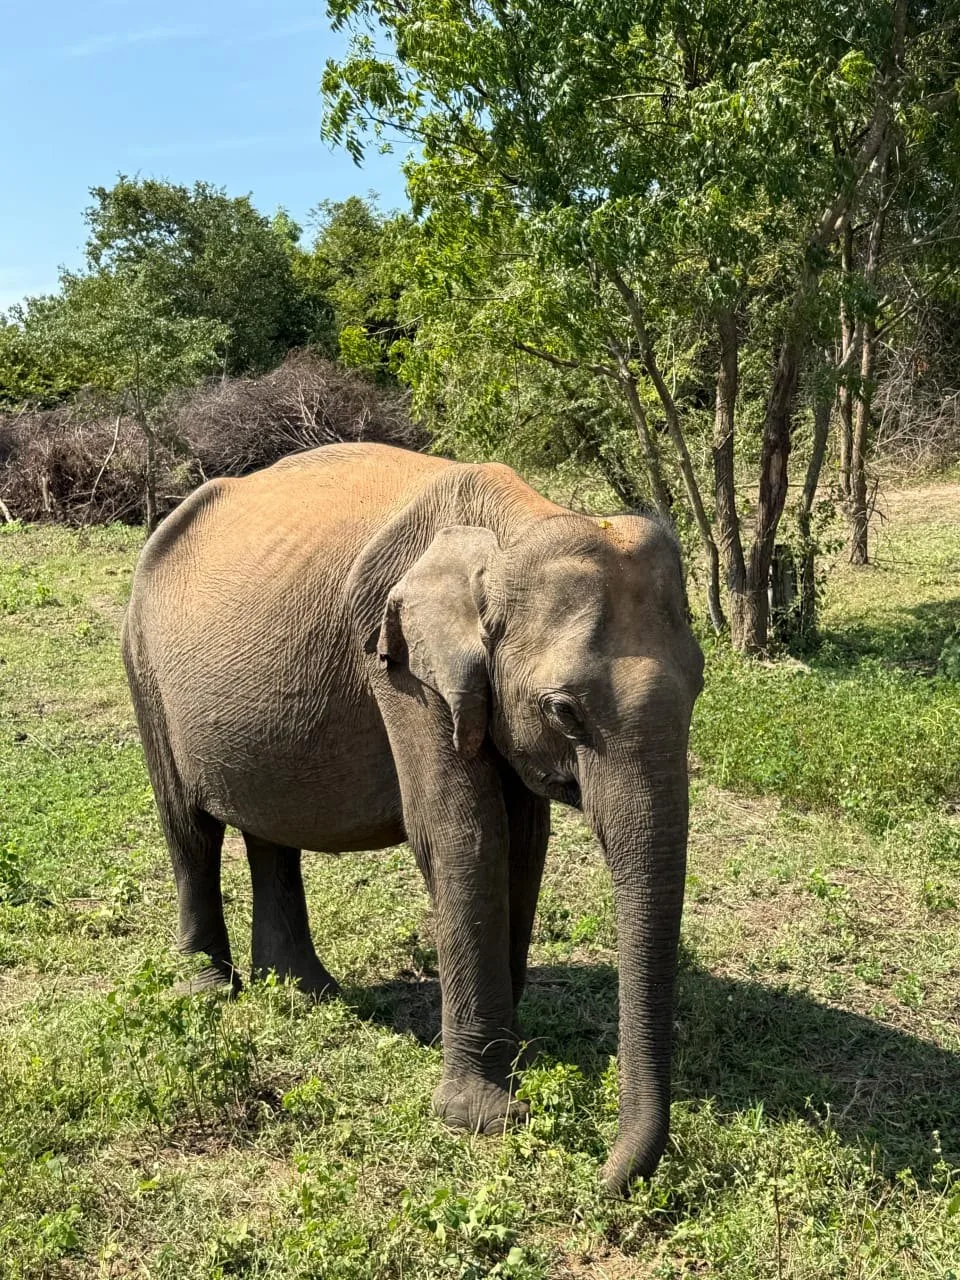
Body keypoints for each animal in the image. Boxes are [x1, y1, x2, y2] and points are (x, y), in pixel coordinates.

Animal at [121, 442, 703, 1193]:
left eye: (700, 686)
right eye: (564, 711)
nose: (603, 1181)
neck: (513, 523)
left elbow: (525, 841)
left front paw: (519, 1063)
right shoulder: (399, 665)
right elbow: (465, 836)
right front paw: (486, 1116)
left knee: (269, 831)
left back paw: (307, 992)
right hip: (142, 662)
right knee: (188, 824)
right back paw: (208, 991)